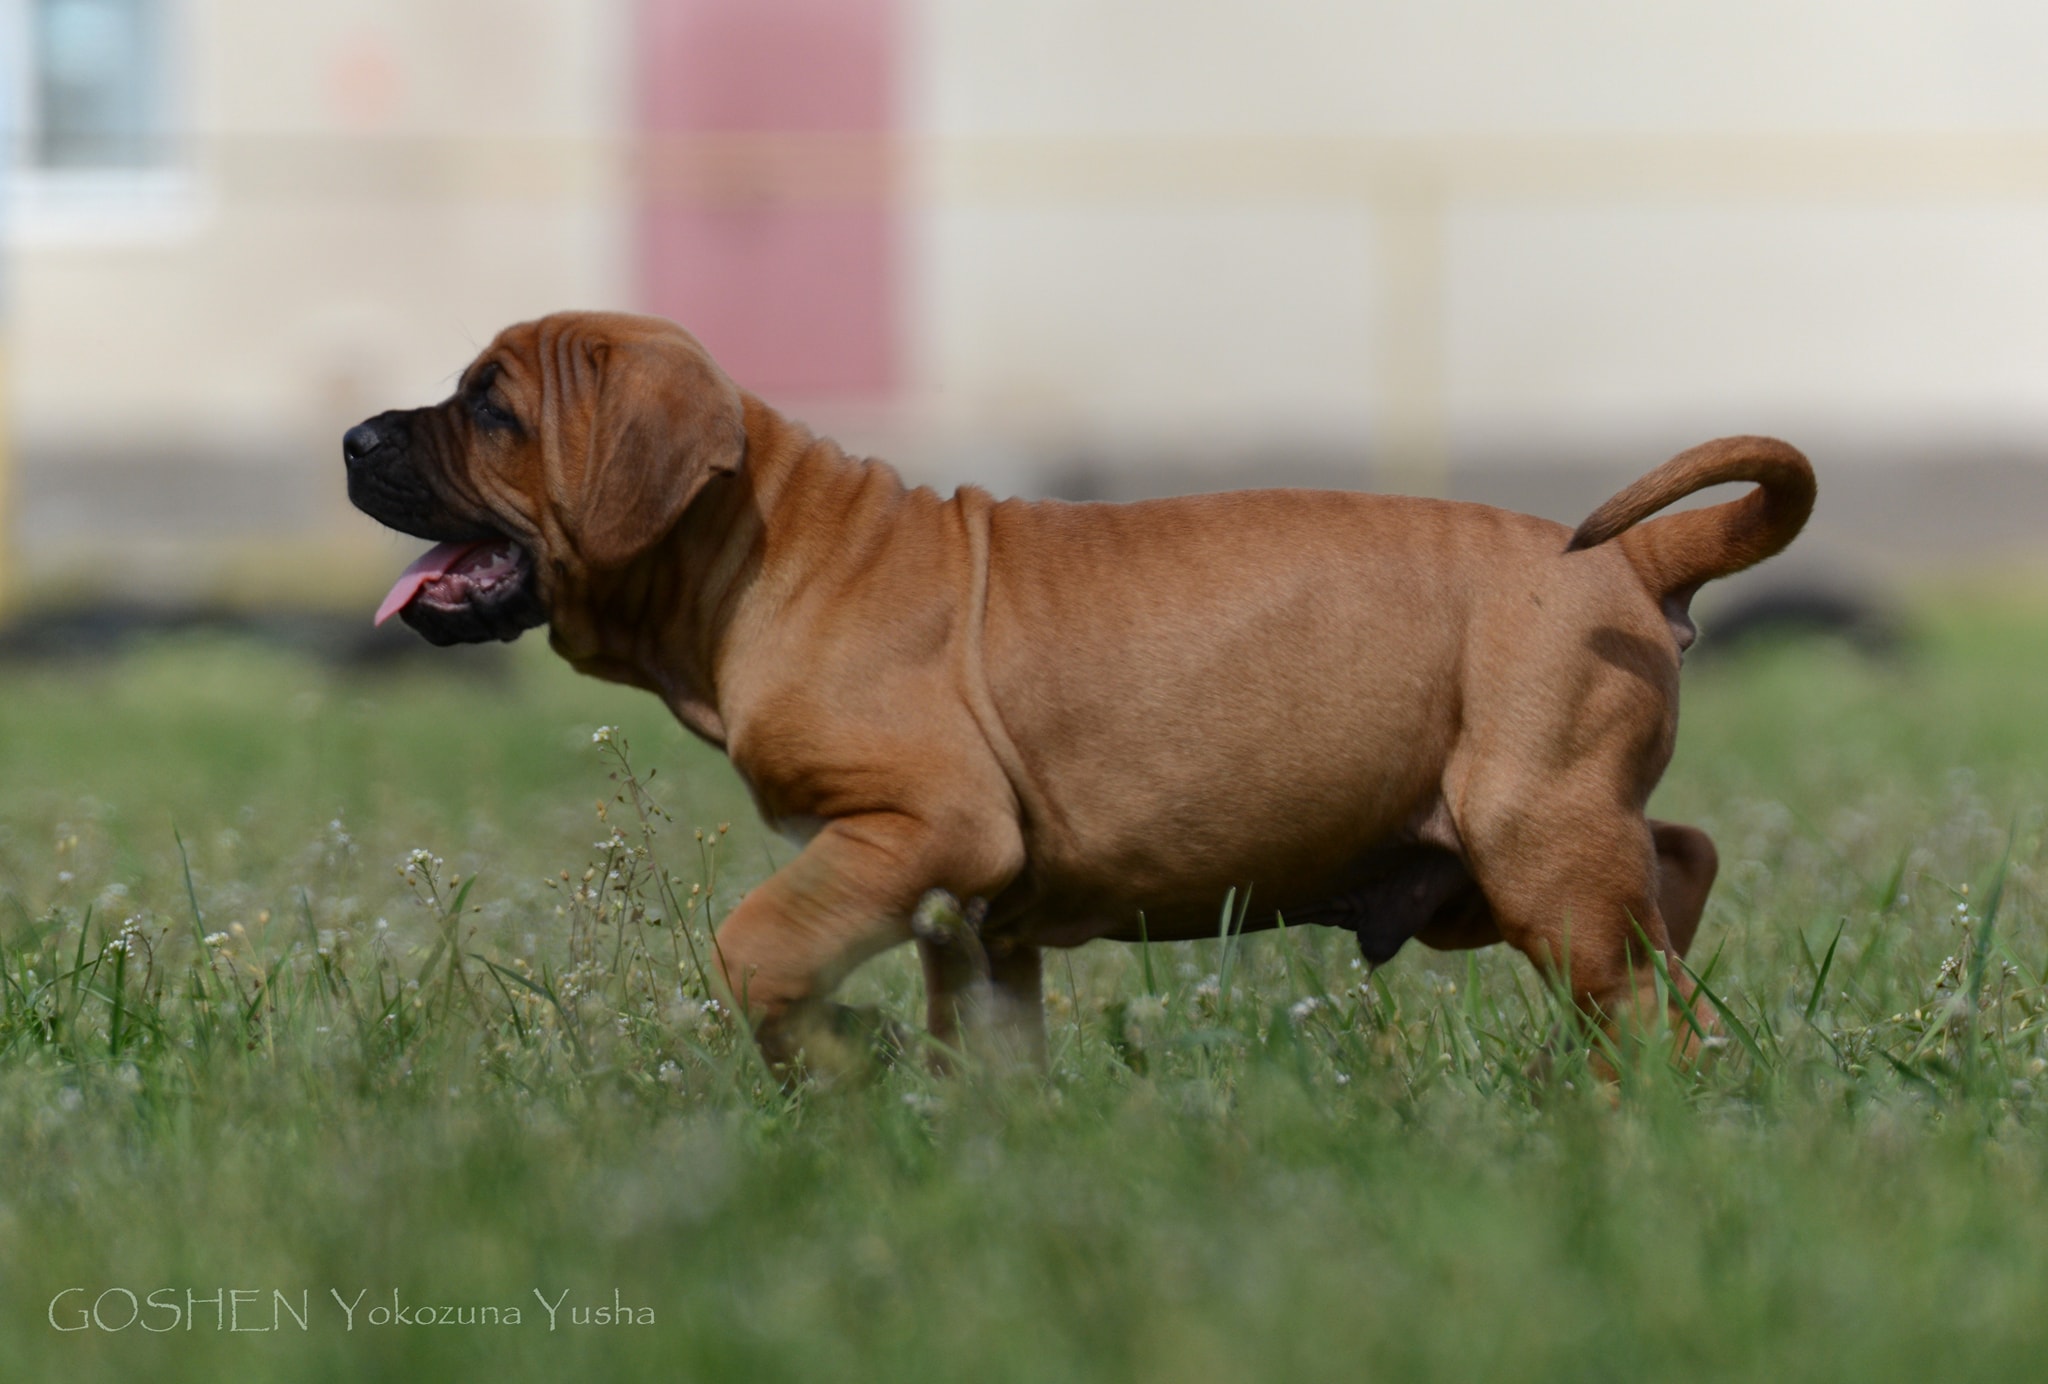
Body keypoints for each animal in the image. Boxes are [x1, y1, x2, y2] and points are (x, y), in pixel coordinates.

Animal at [344, 313, 1818, 1064]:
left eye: (491, 409)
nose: (354, 438)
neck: (767, 546)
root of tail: (1628, 556)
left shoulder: (921, 827)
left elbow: (756, 946)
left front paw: (834, 1064)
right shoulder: (967, 913)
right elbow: (987, 1047)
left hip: (1531, 837)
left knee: (1648, 990)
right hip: (1499, 855)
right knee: (1677, 866)